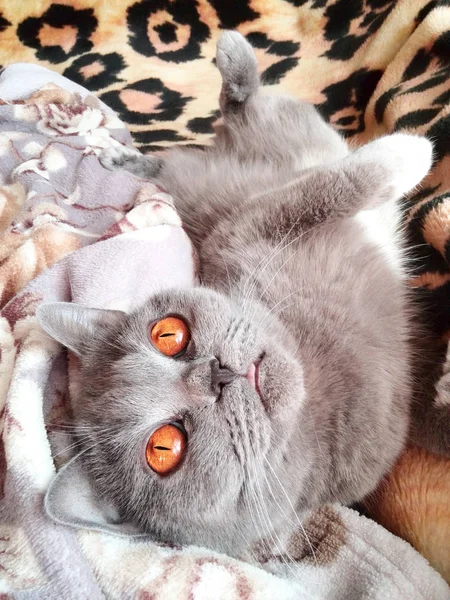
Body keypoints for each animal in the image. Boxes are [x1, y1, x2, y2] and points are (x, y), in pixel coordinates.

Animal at [37, 31, 432, 556]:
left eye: (169, 334)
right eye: (163, 450)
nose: (217, 375)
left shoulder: (249, 226)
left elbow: (320, 191)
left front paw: (405, 155)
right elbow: (336, 186)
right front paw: (411, 155)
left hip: (269, 135)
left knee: (236, 112)